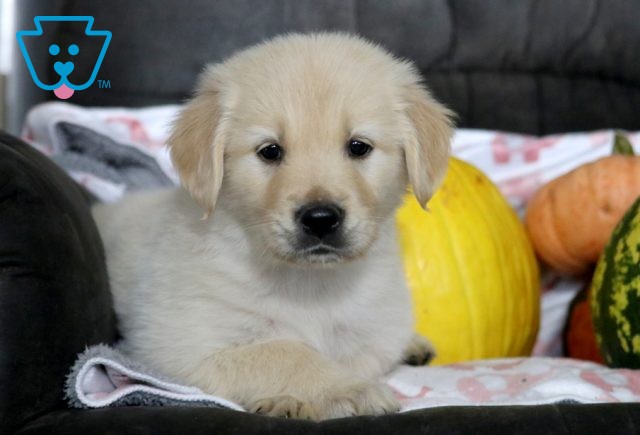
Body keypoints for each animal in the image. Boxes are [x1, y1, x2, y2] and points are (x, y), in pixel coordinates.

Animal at [92, 32, 452, 420]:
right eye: (270, 151)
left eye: (358, 147)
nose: (320, 218)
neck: (308, 283)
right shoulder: (179, 346)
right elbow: (286, 352)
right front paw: (342, 390)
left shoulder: (374, 329)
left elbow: (358, 354)